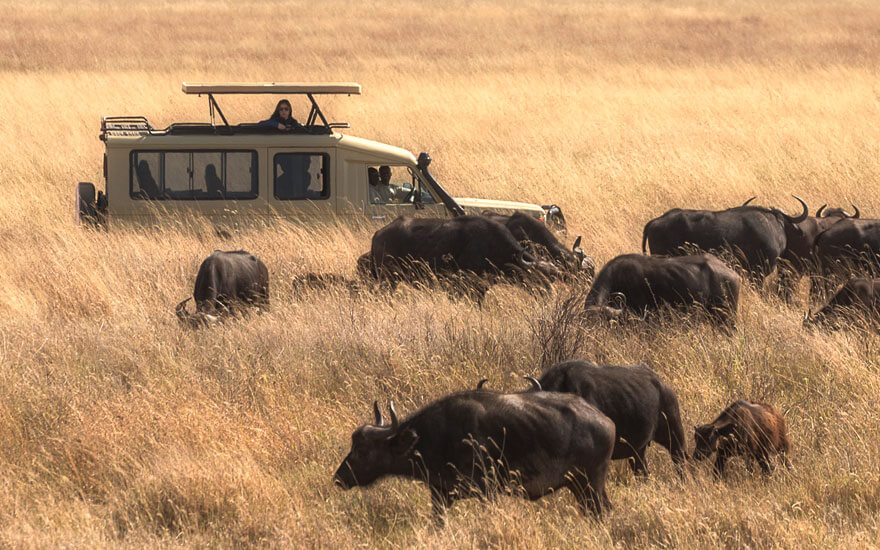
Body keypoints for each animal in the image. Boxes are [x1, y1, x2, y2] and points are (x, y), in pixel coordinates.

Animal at [334, 392, 616, 521]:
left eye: (362, 450)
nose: (338, 478)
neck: (437, 436)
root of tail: (606, 421)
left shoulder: (487, 492)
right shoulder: (440, 495)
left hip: (591, 485)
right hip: (580, 487)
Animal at [361, 215, 561, 301]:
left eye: (551, 280)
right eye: (538, 280)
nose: (548, 298)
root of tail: (378, 235)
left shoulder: (481, 288)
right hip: (388, 280)